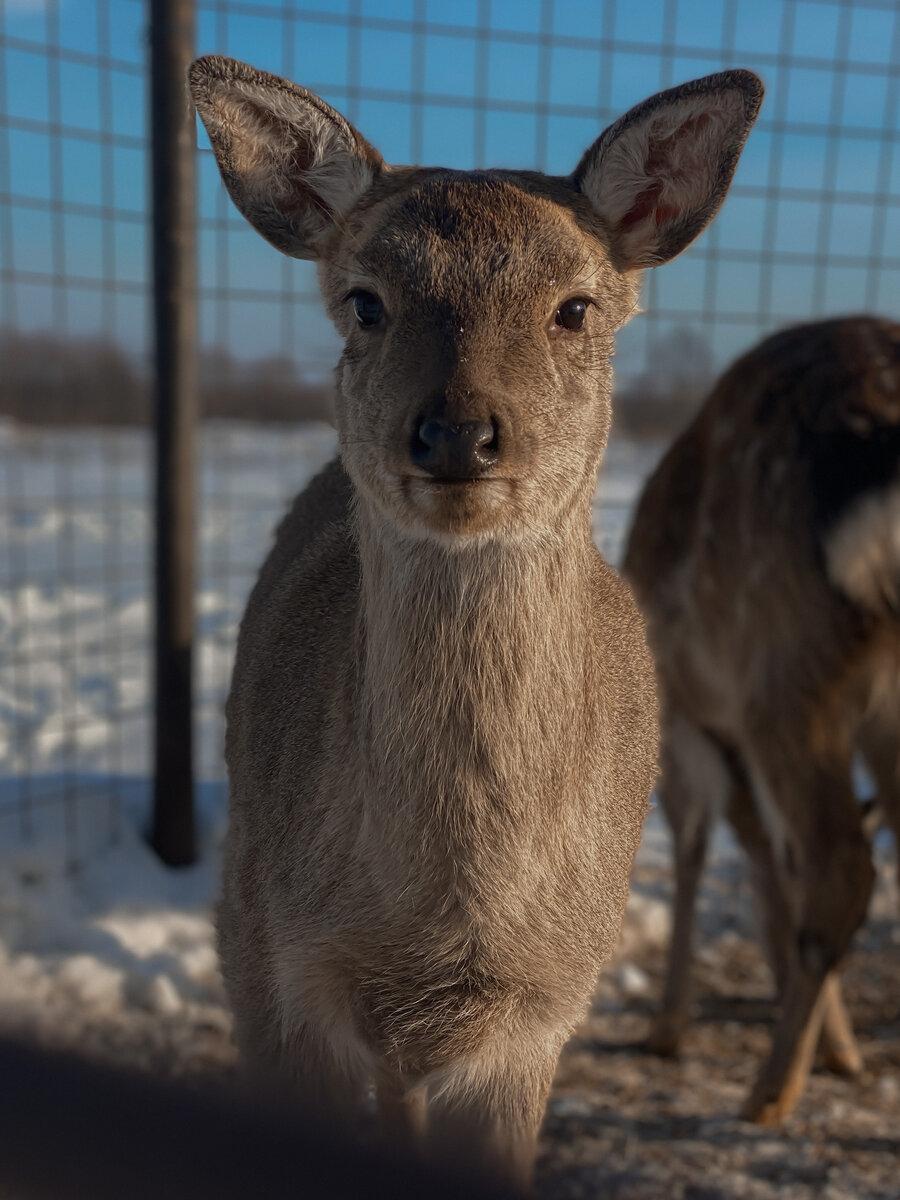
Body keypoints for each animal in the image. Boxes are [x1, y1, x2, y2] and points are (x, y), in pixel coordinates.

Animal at [192, 54, 768, 1180]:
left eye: (576, 307)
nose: (457, 432)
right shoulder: (269, 958)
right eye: (365, 301)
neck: (438, 920)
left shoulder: (543, 1008)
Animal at [624, 316, 900, 1123]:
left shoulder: (681, 724)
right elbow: (774, 863)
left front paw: (668, 1027)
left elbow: (693, 847)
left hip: (783, 663)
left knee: (841, 863)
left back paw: (769, 1092)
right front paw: (838, 1046)